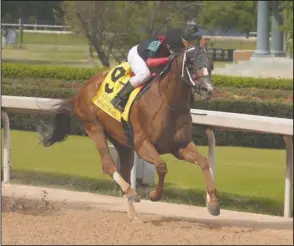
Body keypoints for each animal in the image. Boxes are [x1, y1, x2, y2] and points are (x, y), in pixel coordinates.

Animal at [38, 44, 219, 223]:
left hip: (122, 142)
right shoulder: (142, 144)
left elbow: (204, 162)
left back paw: (133, 214)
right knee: (108, 164)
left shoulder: (179, 146)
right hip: (94, 126)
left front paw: (213, 205)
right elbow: (161, 166)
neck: (169, 103)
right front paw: (154, 195)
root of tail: (81, 91)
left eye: (211, 65)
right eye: (191, 64)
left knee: (124, 170)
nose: (207, 89)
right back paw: (131, 192)